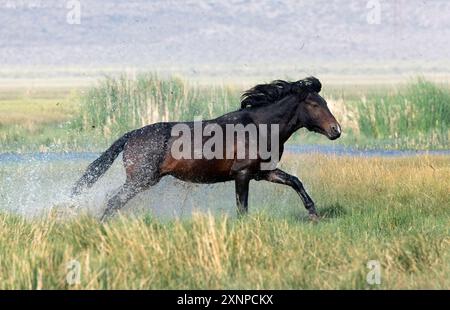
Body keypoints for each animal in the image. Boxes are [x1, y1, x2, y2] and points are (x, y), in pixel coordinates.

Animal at [71, 76, 342, 222]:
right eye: (314, 104)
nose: (336, 130)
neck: (259, 127)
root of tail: (130, 136)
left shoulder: (261, 172)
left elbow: (294, 181)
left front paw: (313, 213)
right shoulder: (242, 174)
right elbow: (242, 207)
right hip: (141, 179)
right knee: (113, 200)